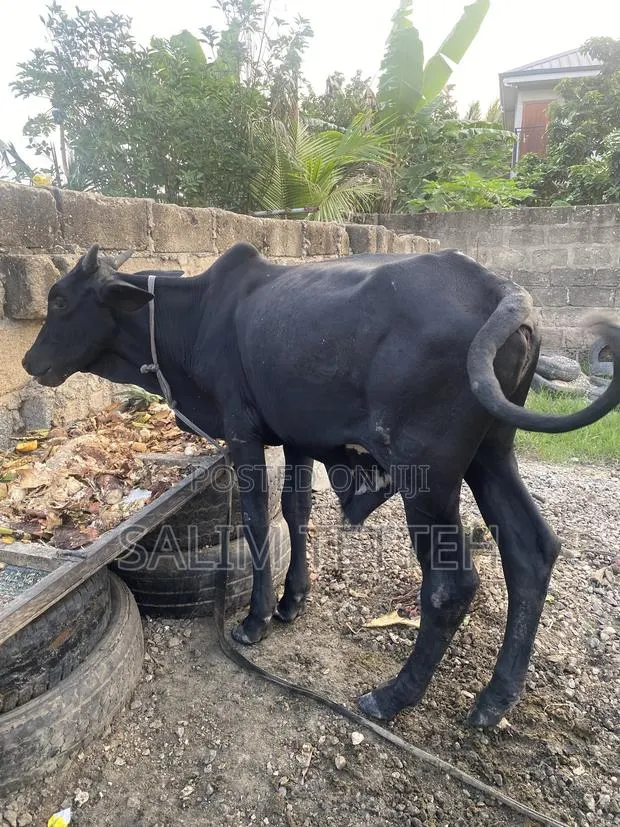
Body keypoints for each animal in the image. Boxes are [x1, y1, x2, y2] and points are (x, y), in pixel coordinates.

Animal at [22, 242, 620, 727]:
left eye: (60, 301)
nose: (29, 361)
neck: (192, 318)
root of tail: (503, 290)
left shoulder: (243, 434)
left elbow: (257, 520)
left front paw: (256, 620)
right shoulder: (296, 437)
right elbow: (296, 511)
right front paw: (293, 601)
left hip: (426, 476)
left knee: (452, 586)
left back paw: (394, 696)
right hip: (493, 451)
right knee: (531, 550)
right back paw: (496, 698)